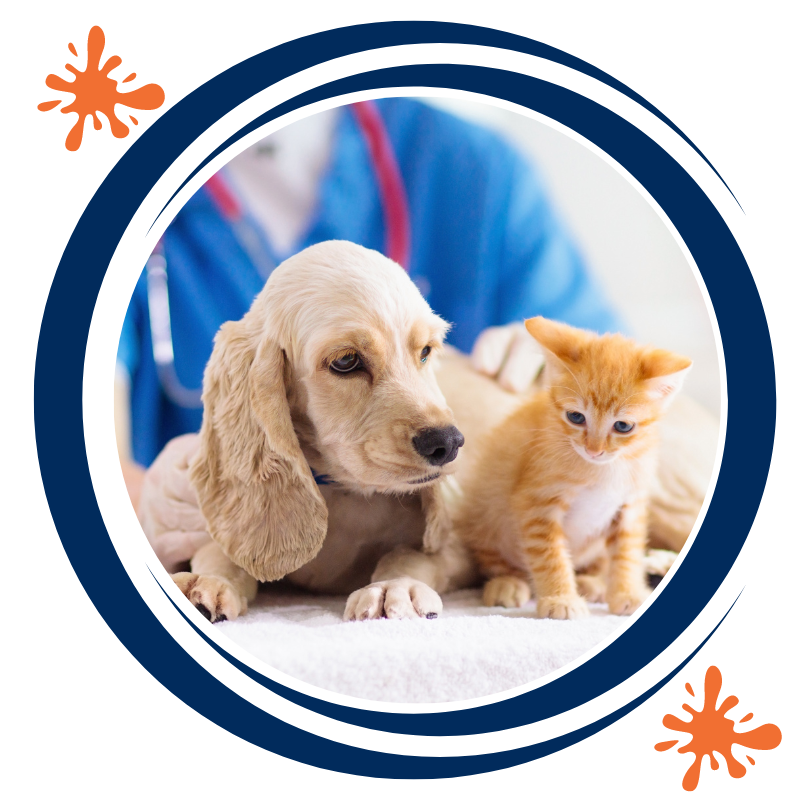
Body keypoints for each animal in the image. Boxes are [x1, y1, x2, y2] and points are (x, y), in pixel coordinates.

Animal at [456, 318, 692, 620]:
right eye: (576, 417)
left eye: (623, 426)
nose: (594, 450)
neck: (604, 470)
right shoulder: (537, 504)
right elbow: (550, 556)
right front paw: (561, 599)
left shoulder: (630, 505)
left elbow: (627, 553)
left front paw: (627, 593)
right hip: (486, 515)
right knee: (496, 559)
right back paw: (506, 583)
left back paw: (592, 583)